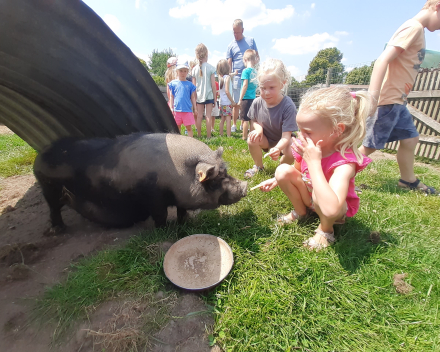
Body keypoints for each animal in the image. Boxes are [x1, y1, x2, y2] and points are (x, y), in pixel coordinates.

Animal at [33, 133, 248, 234]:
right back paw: (57, 230)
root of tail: (40, 157)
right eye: (217, 177)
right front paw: (164, 230)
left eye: (225, 172)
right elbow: (161, 215)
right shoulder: (153, 197)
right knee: (54, 209)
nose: (245, 186)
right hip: (48, 187)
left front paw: (186, 222)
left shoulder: (179, 198)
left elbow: (182, 210)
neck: (178, 176)